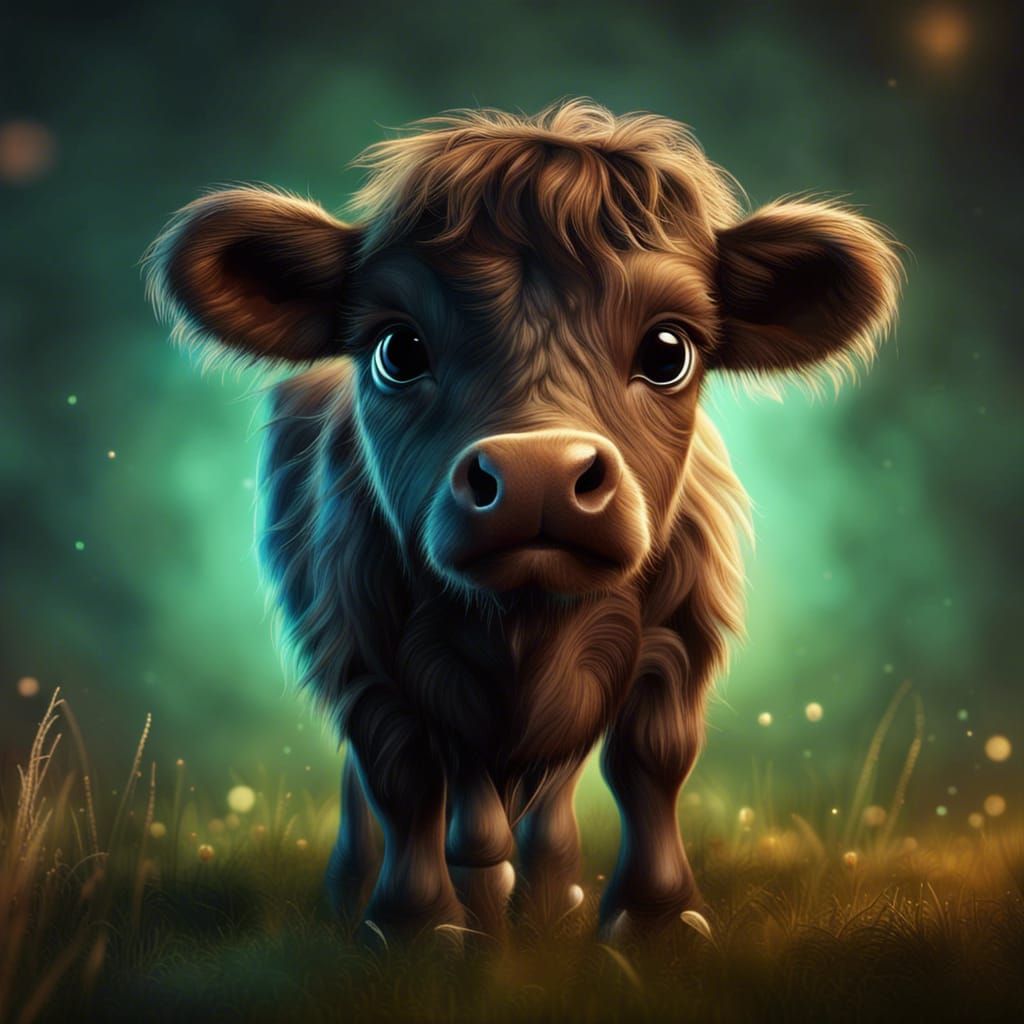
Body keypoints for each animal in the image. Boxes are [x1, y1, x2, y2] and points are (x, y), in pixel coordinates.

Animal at [145, 100, 900, 943]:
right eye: (397, 348)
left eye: (668, 349)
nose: (539, 475)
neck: (522, 627)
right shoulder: (358, 650)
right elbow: (401, 776)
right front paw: (415, 926)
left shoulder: (679, 636)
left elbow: (649, 760)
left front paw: (656, 917)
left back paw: (541, 893)